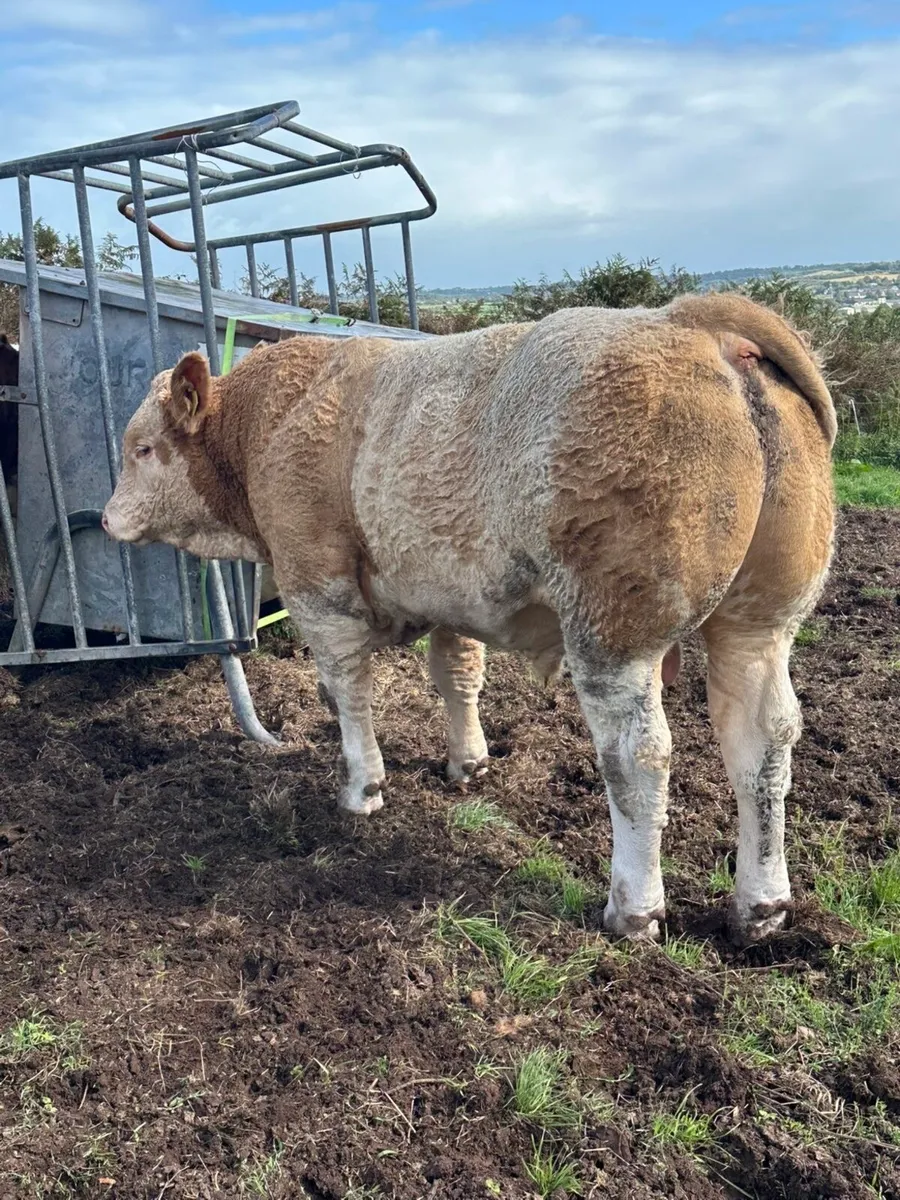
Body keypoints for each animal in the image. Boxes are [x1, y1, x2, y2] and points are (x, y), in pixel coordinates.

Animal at [102, 294, 836, 944]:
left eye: (142, 448)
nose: (106, 519)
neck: (268, 423)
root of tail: (693, 319)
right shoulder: (452, 593)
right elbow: (457, 674)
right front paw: (469, 764)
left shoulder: (319, 589)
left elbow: (347, 692)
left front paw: (362, 788)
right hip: (760, 622)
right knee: (764, 741)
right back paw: (761, 906)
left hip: (614, 629)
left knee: (638, 757)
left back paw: (634, 910)